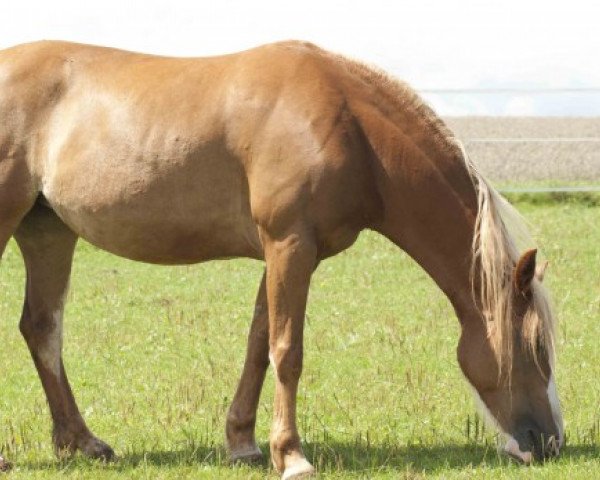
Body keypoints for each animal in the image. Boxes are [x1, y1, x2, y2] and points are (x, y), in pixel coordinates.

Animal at [0, 40, 564, 476]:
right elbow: (287, 351)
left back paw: (81, 441)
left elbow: (258, 344)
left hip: (48, 232)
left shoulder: (281, 253)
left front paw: (243, 444)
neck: (349, 123)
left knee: (43, 328)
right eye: (535, 346)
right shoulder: (291, 245)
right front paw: (291, 456)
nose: (551, 442)